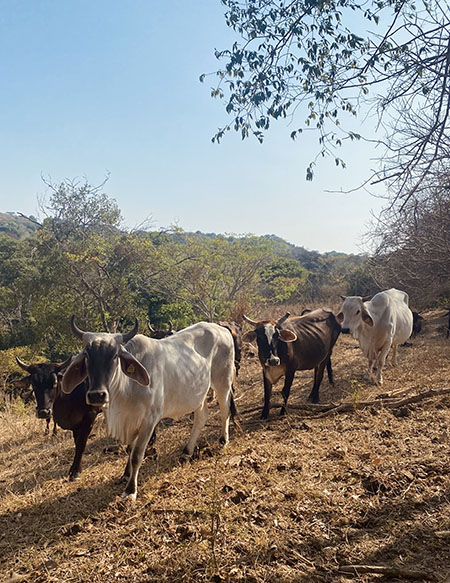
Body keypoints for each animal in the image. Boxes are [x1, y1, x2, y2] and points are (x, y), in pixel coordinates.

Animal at [62, 318, 237, 500]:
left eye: (115, 356)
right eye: (87, 356)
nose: (97, 395)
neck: (127, 389)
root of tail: (221, 329)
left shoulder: (149, 421)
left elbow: (137, 455)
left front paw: (130, 490)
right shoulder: (131, 419)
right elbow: (129, 450)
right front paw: (125, 474)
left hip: (222, 381)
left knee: (225, 409)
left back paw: (223, 441)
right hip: (198, 394)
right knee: (201, 417)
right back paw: (187, 452)